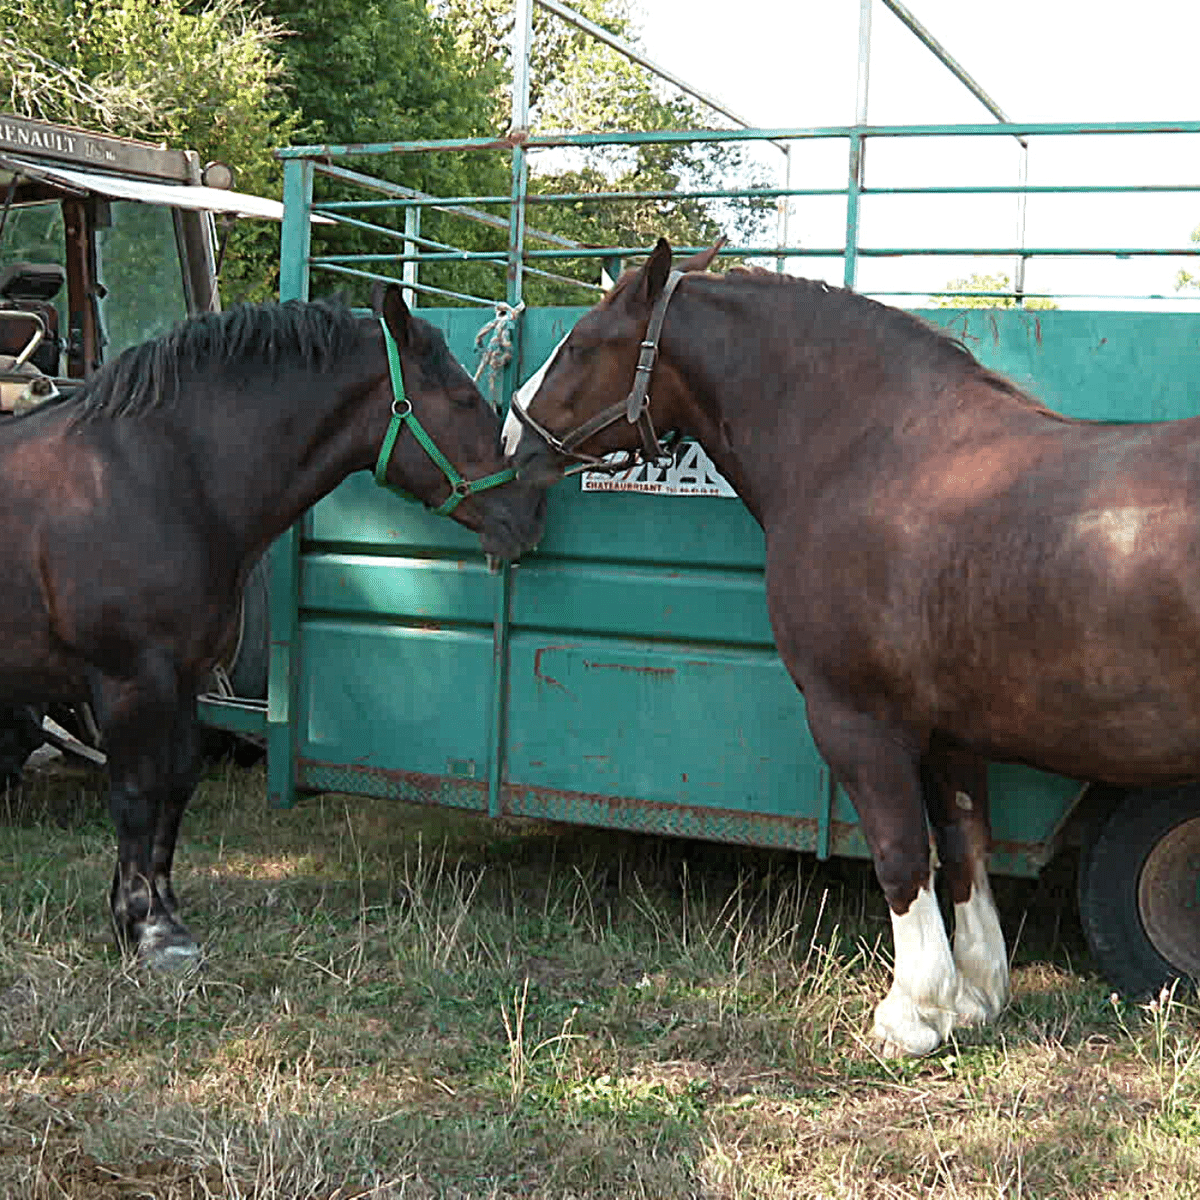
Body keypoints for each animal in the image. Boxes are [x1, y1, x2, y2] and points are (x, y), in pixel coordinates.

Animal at [0, 285, 544, 969]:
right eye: (466, 400)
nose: (529, 514)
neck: (159, 475)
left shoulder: (187, 674)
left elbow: (177, 784)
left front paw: (162, 913)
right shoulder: (127, 677)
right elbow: (134, 793)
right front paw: (147, 928)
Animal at [504, 238, 1200, 1056]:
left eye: (581, 344)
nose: (511, 434)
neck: (876, 454)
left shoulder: (856, 719)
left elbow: (901, 853)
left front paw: (912, 1016)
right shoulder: (952, 733)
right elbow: (963, 847)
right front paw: (976, 997)